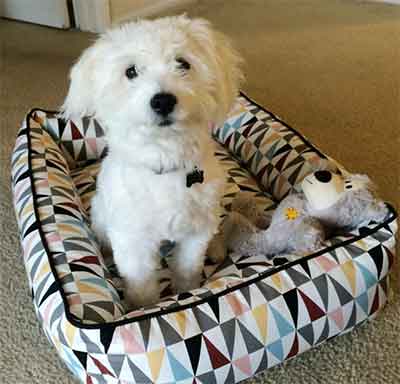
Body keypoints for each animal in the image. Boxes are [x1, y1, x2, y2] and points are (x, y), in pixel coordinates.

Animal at [61, 15, 244, 308]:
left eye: (183, 63)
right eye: (130, 71)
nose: (163, 101)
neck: (164, 161)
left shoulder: (195, 233)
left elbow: (187, 268)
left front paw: (187, 291)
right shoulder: (132, 241)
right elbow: (142, 283)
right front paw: (143, 307)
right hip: (101, 214)